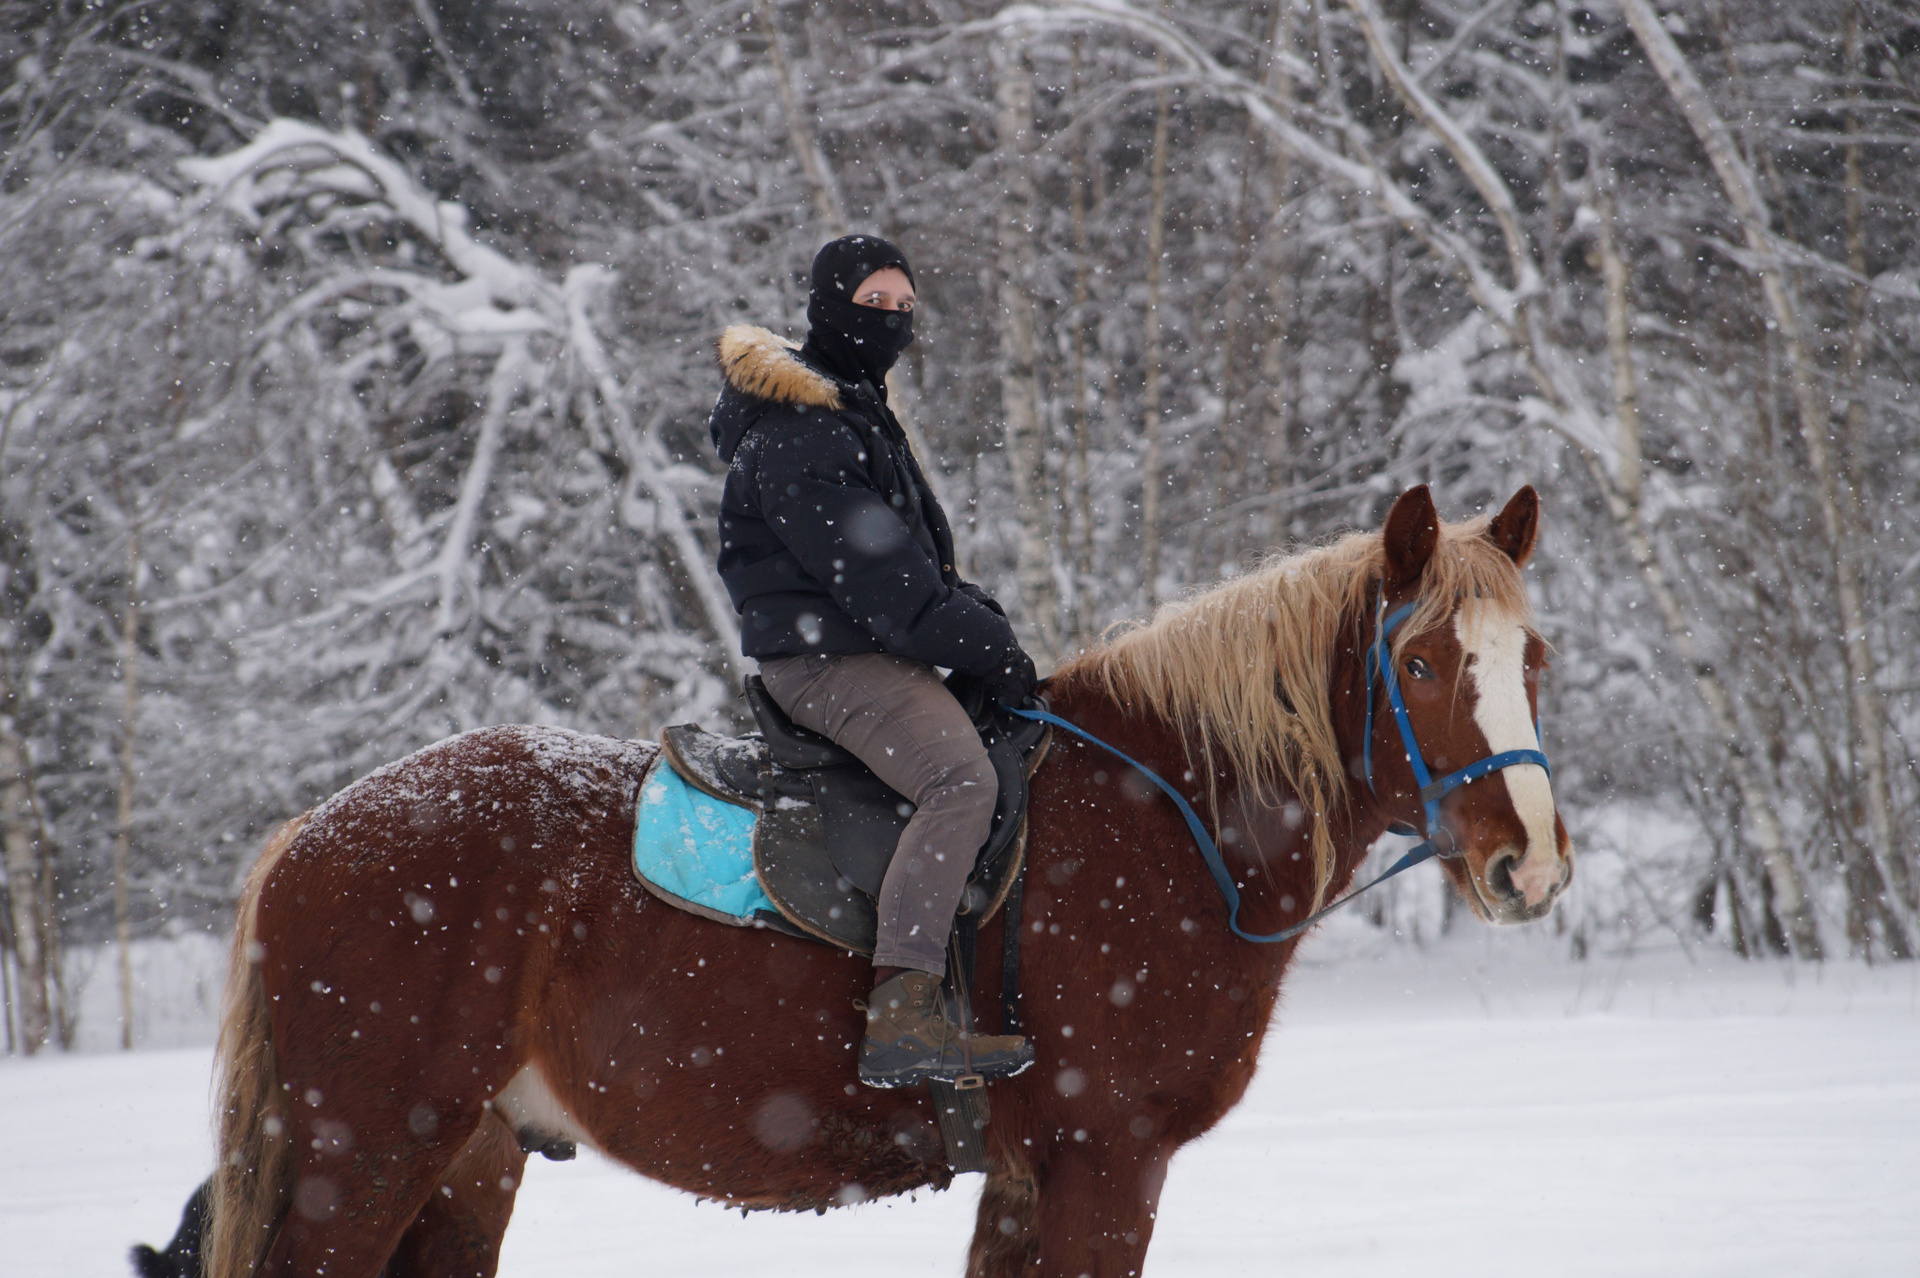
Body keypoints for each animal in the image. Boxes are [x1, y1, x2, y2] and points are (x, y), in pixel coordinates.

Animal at [174, 482, 1569, 1278]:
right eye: (1424, 663)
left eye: (1533, 656)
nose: (1532, 864)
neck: (1164, 821)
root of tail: (314, 832)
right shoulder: (1108, 1164)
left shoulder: (1027, 1183)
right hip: (367, 1159)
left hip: (465, 1168)